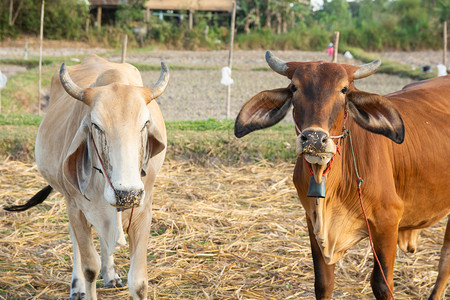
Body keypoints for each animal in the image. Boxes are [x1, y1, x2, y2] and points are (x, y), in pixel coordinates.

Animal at [4, 54, 170, 300]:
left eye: (145, 123)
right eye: (96, 125)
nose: (127, 194)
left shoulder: (143, 209)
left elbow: (139, 282)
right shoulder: (77, 207)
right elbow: (90, 266)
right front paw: (85, 284)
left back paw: (110, 275)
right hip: (70, 202)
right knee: (75, 242)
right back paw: (77, 287)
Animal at [234, 51, 450, 298]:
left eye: (344, 89)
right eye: (294, 87)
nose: (315, 139)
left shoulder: (387, 222)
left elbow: (382, 284)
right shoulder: (313, 221)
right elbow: (323, 282)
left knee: (445, 261)